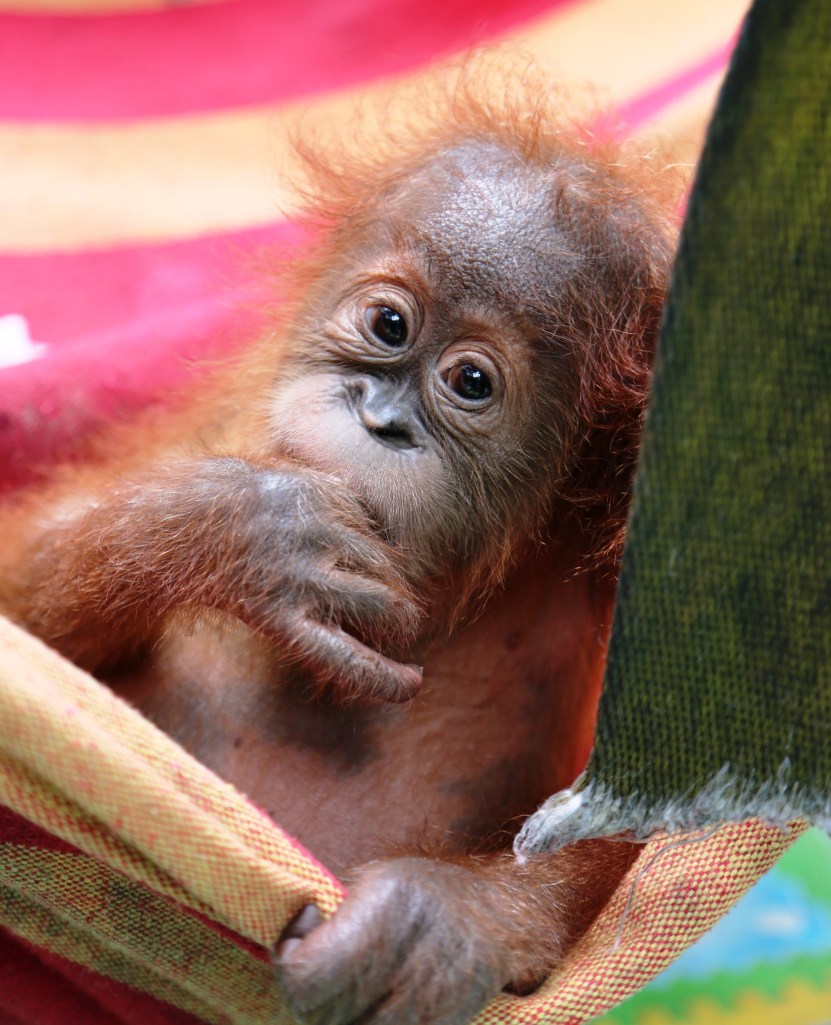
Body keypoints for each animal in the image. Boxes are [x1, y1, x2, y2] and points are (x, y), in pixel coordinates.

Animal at [0, 72, 674, 1025]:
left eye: (471, 381)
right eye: (388, 323)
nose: (380, 418)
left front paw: (437, 919)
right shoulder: (223, 418)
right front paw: (252, 530)